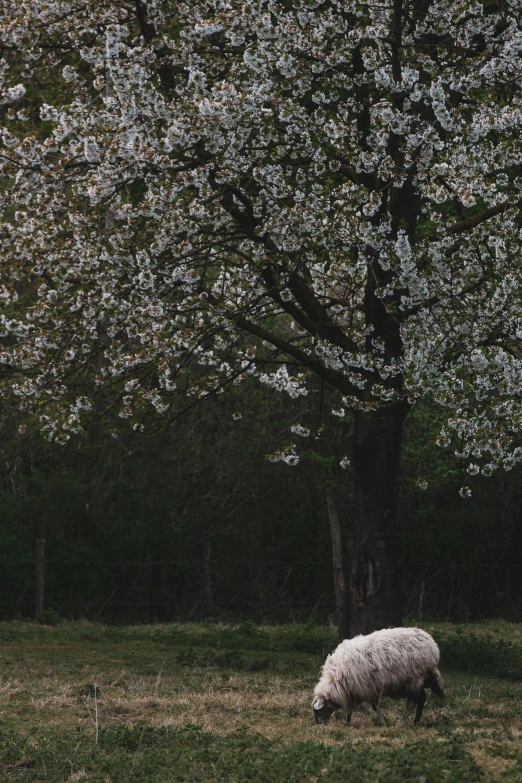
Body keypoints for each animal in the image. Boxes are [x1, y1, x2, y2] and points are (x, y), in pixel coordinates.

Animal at [310, 624, 440, 728]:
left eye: (318, 711)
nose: (319, 723)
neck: (335, 680)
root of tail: (432, 644)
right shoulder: (353, 690)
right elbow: (352, 708)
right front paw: (347, 722)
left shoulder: (369, 688)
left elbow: (374, 707)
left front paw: (382, 724)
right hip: (417, 680)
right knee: (422, 698)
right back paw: (415, 722)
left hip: (414, 679)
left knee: (412, 702)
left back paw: (402, 722)